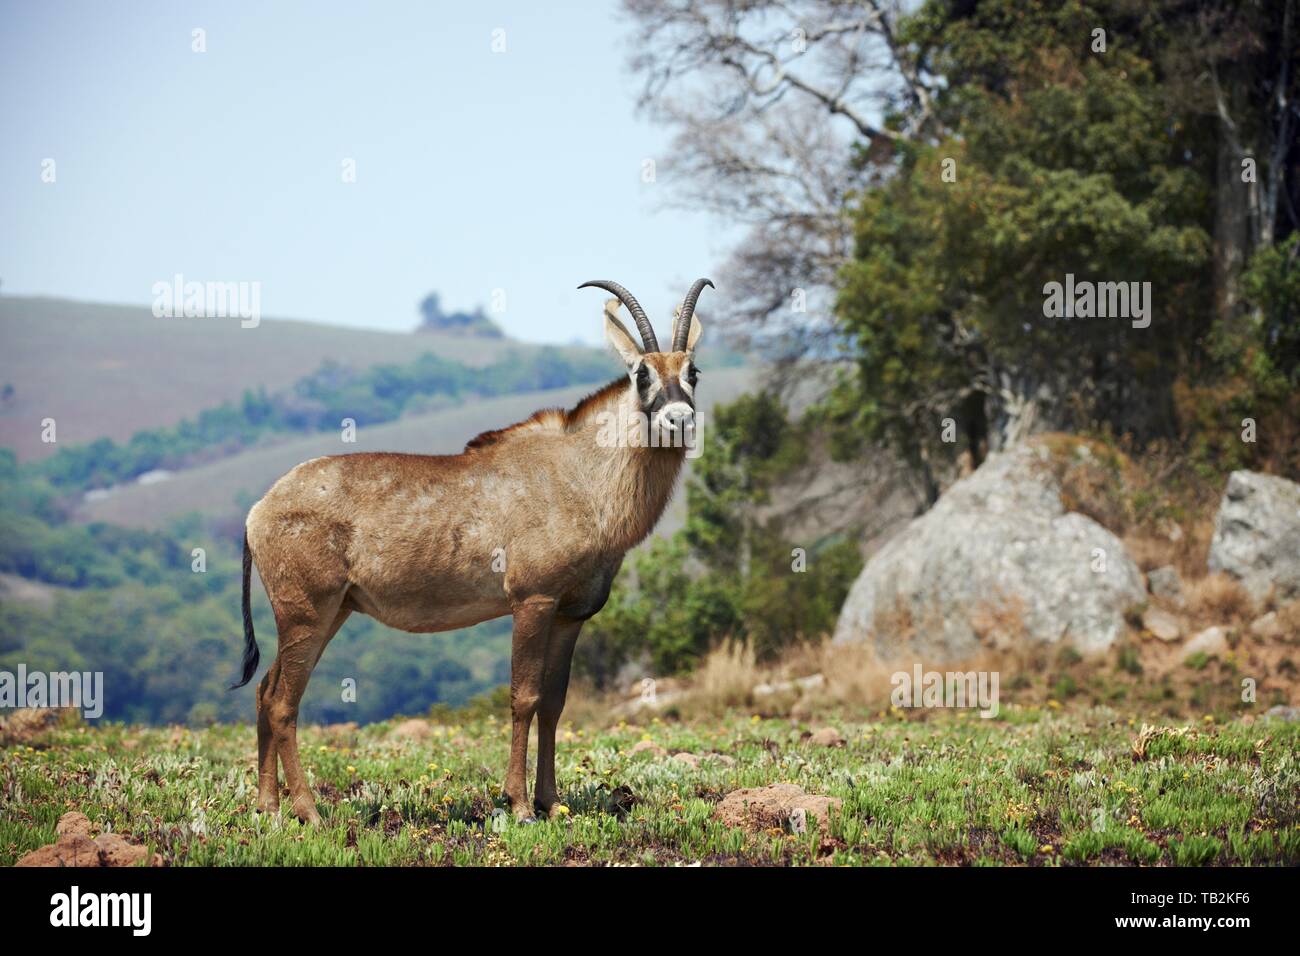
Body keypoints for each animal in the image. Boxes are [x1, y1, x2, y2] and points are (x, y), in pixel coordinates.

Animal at [228, 277, 707, 822]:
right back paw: (308, 811)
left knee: (265, 690)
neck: (581, 476)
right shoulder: (532, 602)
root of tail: (259, 510)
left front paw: (550, 801)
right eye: (640, 373)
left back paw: (268, 807)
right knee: (283, 702)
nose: (678, 419)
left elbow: (554, 703)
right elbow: (524, 697)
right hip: (307, 613)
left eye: (692, 371)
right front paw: (519, 804)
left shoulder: (570, 615)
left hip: (329, 613)